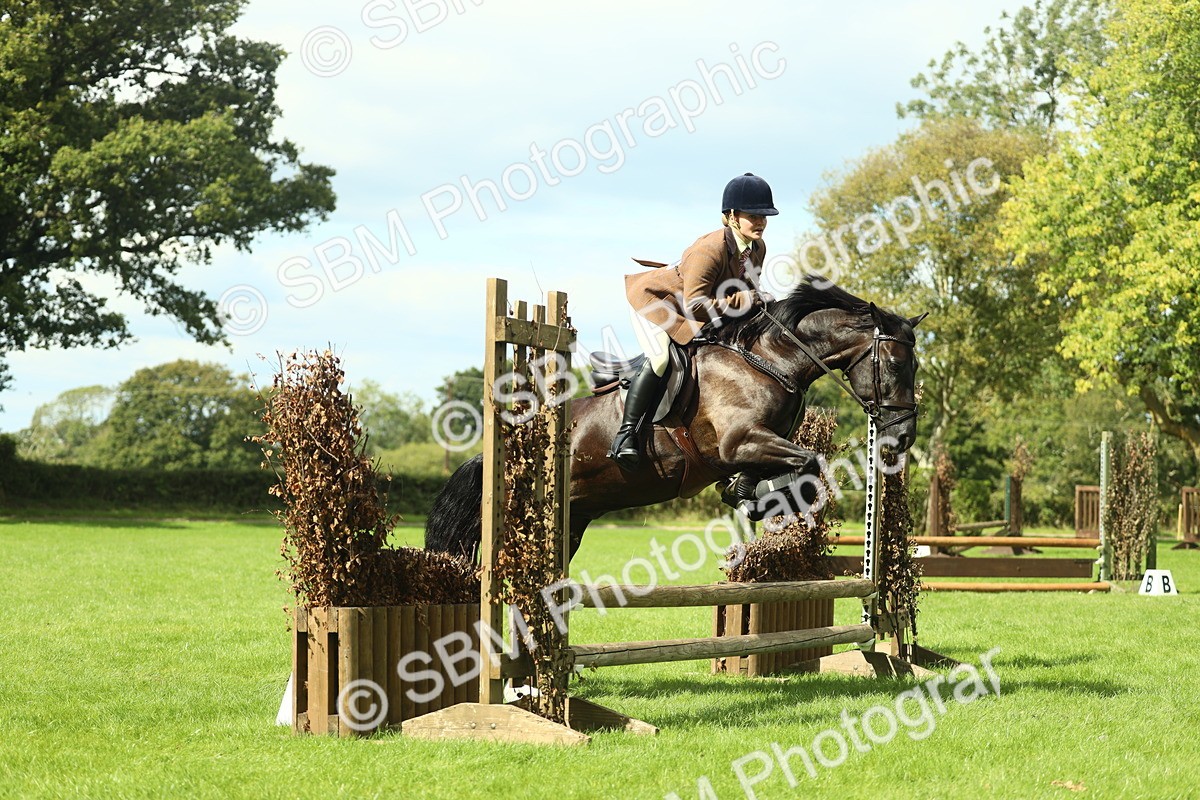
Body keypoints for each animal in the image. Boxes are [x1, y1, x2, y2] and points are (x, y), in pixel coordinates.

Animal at [425, 275, 923, 562]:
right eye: (896, 365)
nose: (902, 438)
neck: (770, 360)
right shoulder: (740, 440)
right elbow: (810, 462)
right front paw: (769, 502)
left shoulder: (753, 444)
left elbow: (782, 468)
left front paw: (745, 496)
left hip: (575, 517)